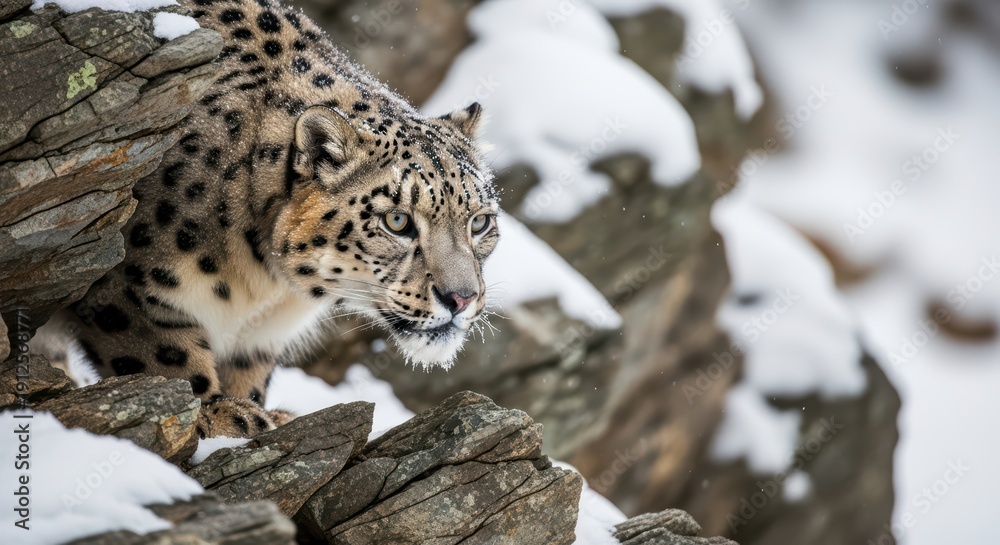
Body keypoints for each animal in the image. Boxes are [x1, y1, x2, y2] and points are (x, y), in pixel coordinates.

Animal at [36, 0, 500, 439]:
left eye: (479, 222)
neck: (261, 284)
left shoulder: (258, 339)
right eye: (398, 221)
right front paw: (220, 418)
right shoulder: (127, 289)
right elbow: (168, 363)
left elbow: (247, 377)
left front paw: (253, 413)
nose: (461, 298)